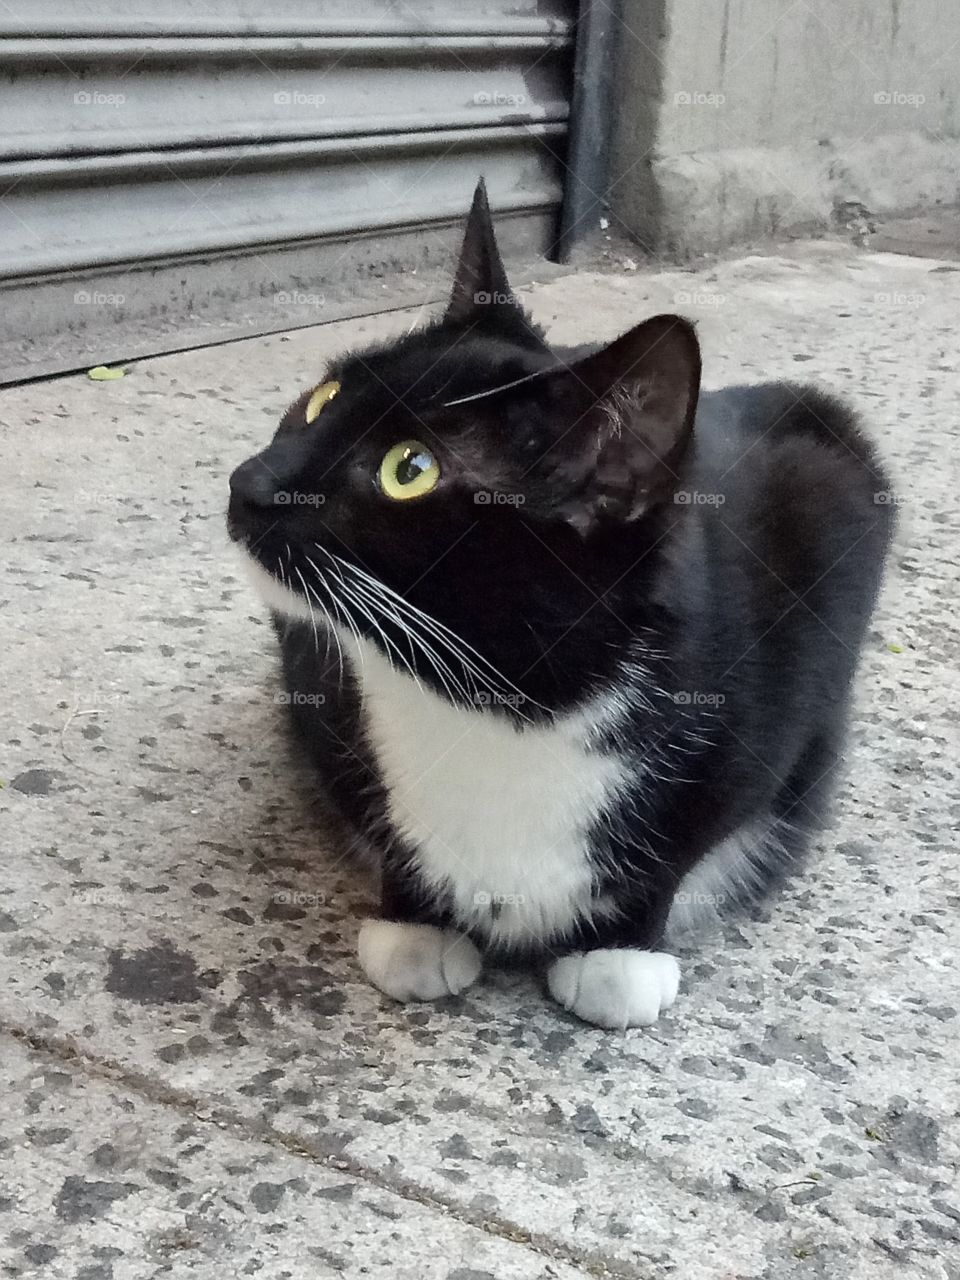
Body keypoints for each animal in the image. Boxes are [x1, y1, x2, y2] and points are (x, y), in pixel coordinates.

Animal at [225, 177, 896, 1029]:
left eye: (408, 469)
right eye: (321, 399)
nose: (247, 480)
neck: (495, 698)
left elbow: (687, 838)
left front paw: (620, 958)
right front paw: (414, 926)